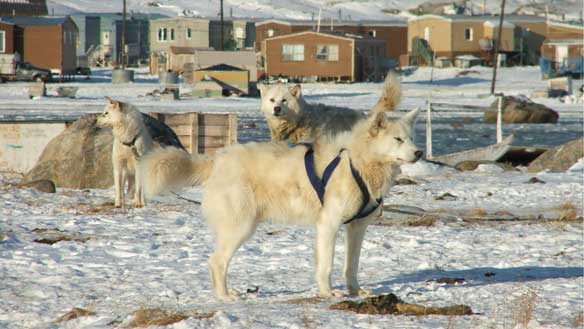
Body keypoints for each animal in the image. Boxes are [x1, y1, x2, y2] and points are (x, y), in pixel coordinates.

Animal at [138, 95, 420, 300]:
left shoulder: (357, 228)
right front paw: (328, 293)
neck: (357, 161)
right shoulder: (328, 224)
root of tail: (217, 160)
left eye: (411, 138)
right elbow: (327, 265)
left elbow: (351, 266)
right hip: (241, 228)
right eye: (398, 139)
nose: (419, 153)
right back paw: (226, 297)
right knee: (215, 262)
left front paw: (355, 292)